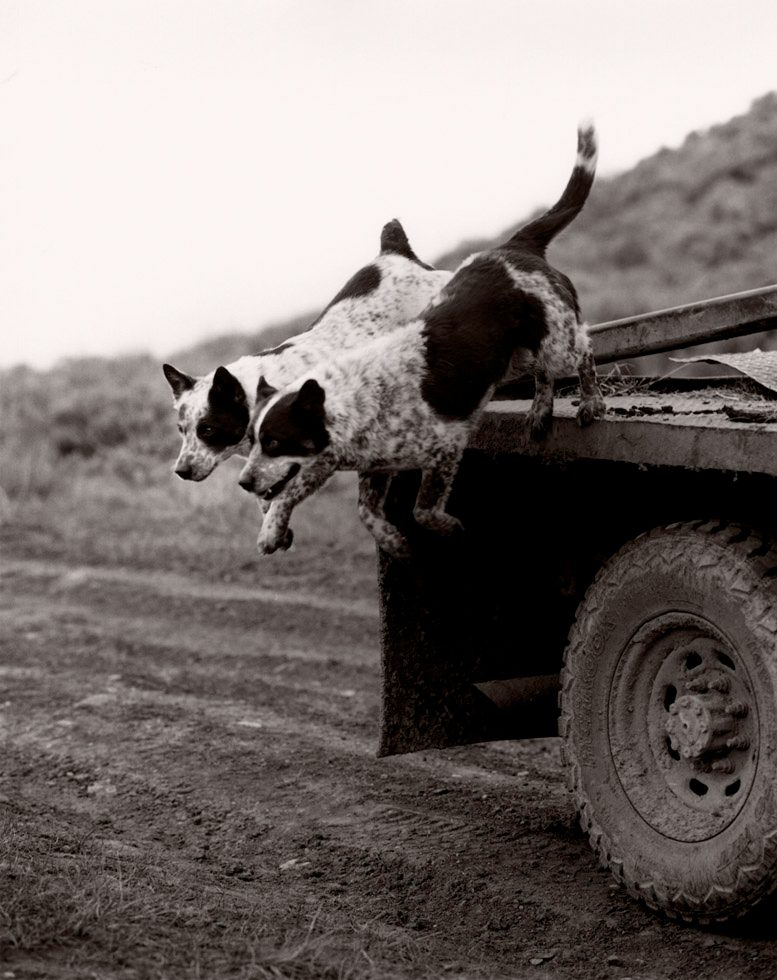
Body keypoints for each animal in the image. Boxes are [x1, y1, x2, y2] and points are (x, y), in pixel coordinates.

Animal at [236, 124, 608, 560]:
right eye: (252, 440)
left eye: (274, 442)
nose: (243, 482)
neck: (362, 401)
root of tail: (513, 246)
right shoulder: (375, 465)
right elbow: (366, 512)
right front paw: (393, 542)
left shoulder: (444, 449)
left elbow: (423, 510)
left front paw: (449, 529)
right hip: (517, 353)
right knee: (544, 373)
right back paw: (539, 410)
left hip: (558, 338)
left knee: (584, 351)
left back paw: (590, 401)